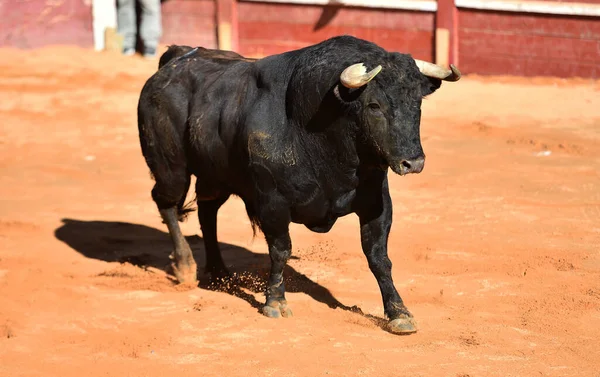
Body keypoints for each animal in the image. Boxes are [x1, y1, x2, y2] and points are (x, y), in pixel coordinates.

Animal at [138, 36, 462, 334]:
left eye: (417, 103)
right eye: (374, 105)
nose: (413, 162)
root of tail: (176, 58)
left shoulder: (377, 202)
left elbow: (379, 256)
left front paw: (399, 312)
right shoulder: (272, 202)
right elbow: (280, 250)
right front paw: (275, 302)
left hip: (215, 176)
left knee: (208, 211)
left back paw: (219, 272)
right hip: (172, 169)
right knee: (166, 202)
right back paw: (185, 266)